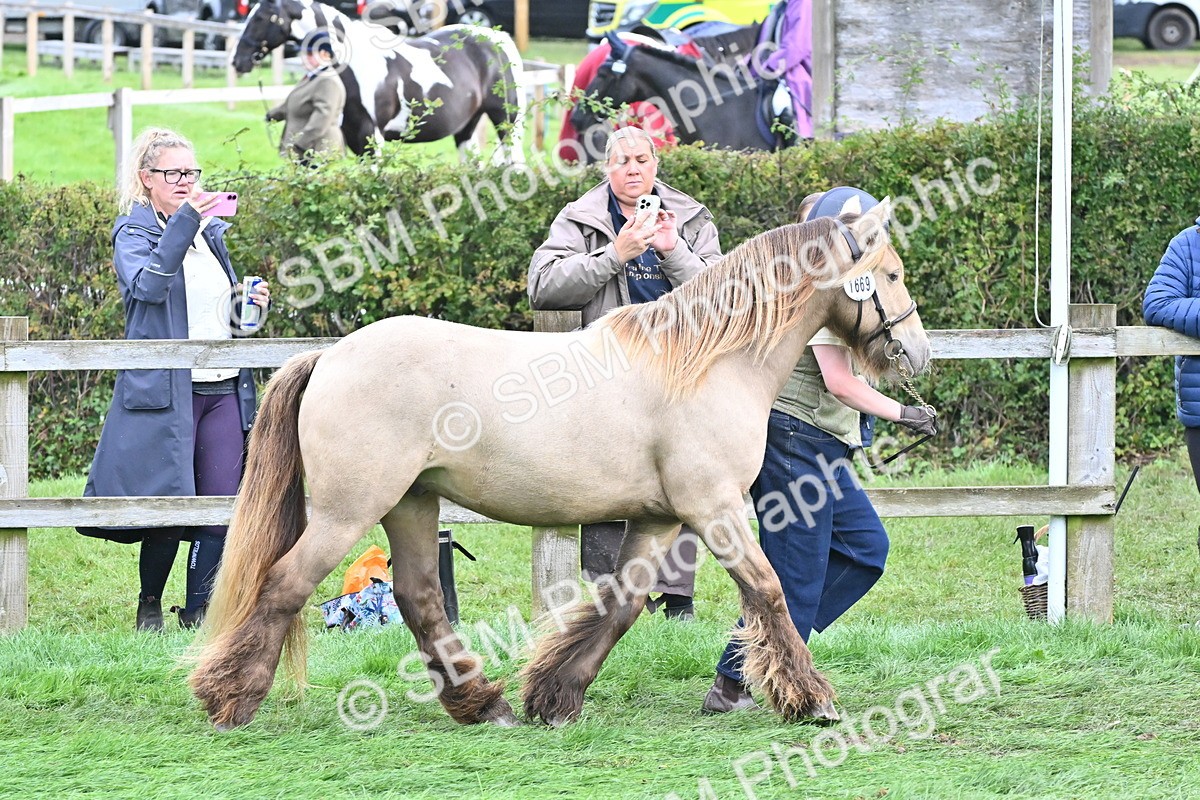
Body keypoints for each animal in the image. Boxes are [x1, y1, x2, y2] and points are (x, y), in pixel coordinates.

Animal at [189, 201, 929, 730]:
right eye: (892, 274)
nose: (918, 354)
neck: (707, 361)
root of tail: (330, 357)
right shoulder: (713, 509)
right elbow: (769, 591)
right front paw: (813, 699)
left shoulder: (660, 519)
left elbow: (621, 605)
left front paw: (555, 695)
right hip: (348, 510)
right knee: (284, 585)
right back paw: (232, 699)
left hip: (411, 504)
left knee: (420, 597)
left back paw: (483, 704)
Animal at [232, 0, 525, 160]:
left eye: (261, 17)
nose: (238, 61)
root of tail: (498, 37)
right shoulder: (353, 138)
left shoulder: (371, 138)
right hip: (466, 128)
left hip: (505, 122)